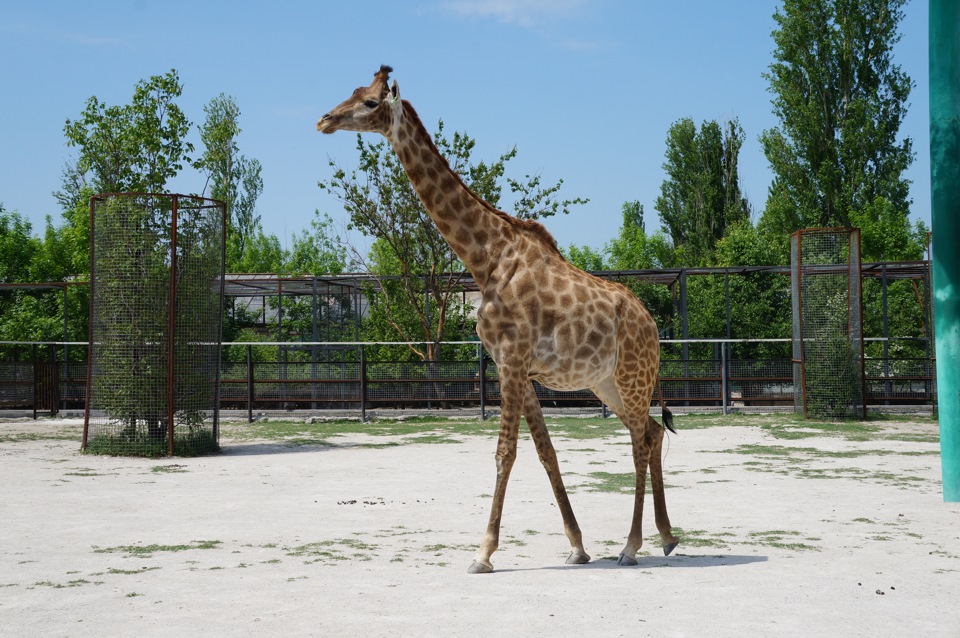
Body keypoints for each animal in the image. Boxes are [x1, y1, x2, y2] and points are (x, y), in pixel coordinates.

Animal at [318, 66, 680, 576]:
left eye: (370, 102)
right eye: (352, 92)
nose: (325, 120)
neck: (485, 259)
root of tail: (652, 326)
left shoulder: (511, 357)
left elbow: (504, 452)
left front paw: (483, 552)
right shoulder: (518, 367)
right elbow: (546, 451)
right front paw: (577, 546)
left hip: (631, 376)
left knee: (640, 441)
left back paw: (631, 546)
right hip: (607, 382)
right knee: (649, 432)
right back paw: (665, 538)